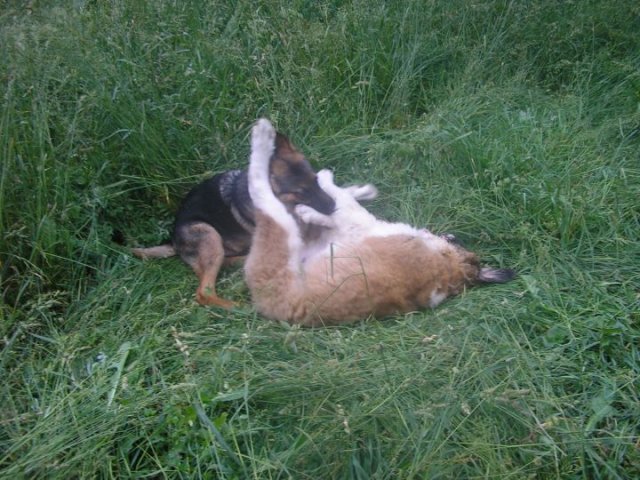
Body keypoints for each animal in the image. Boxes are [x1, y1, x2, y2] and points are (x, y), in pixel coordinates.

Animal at [244, 118, 515, 326]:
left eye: (452, 239)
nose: (448, 233)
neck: (447, 267)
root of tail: (277, 309)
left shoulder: (359, 223)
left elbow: (338, 204)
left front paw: (318, 191)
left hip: (276, 237)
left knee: (259, 187)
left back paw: (263, 136)